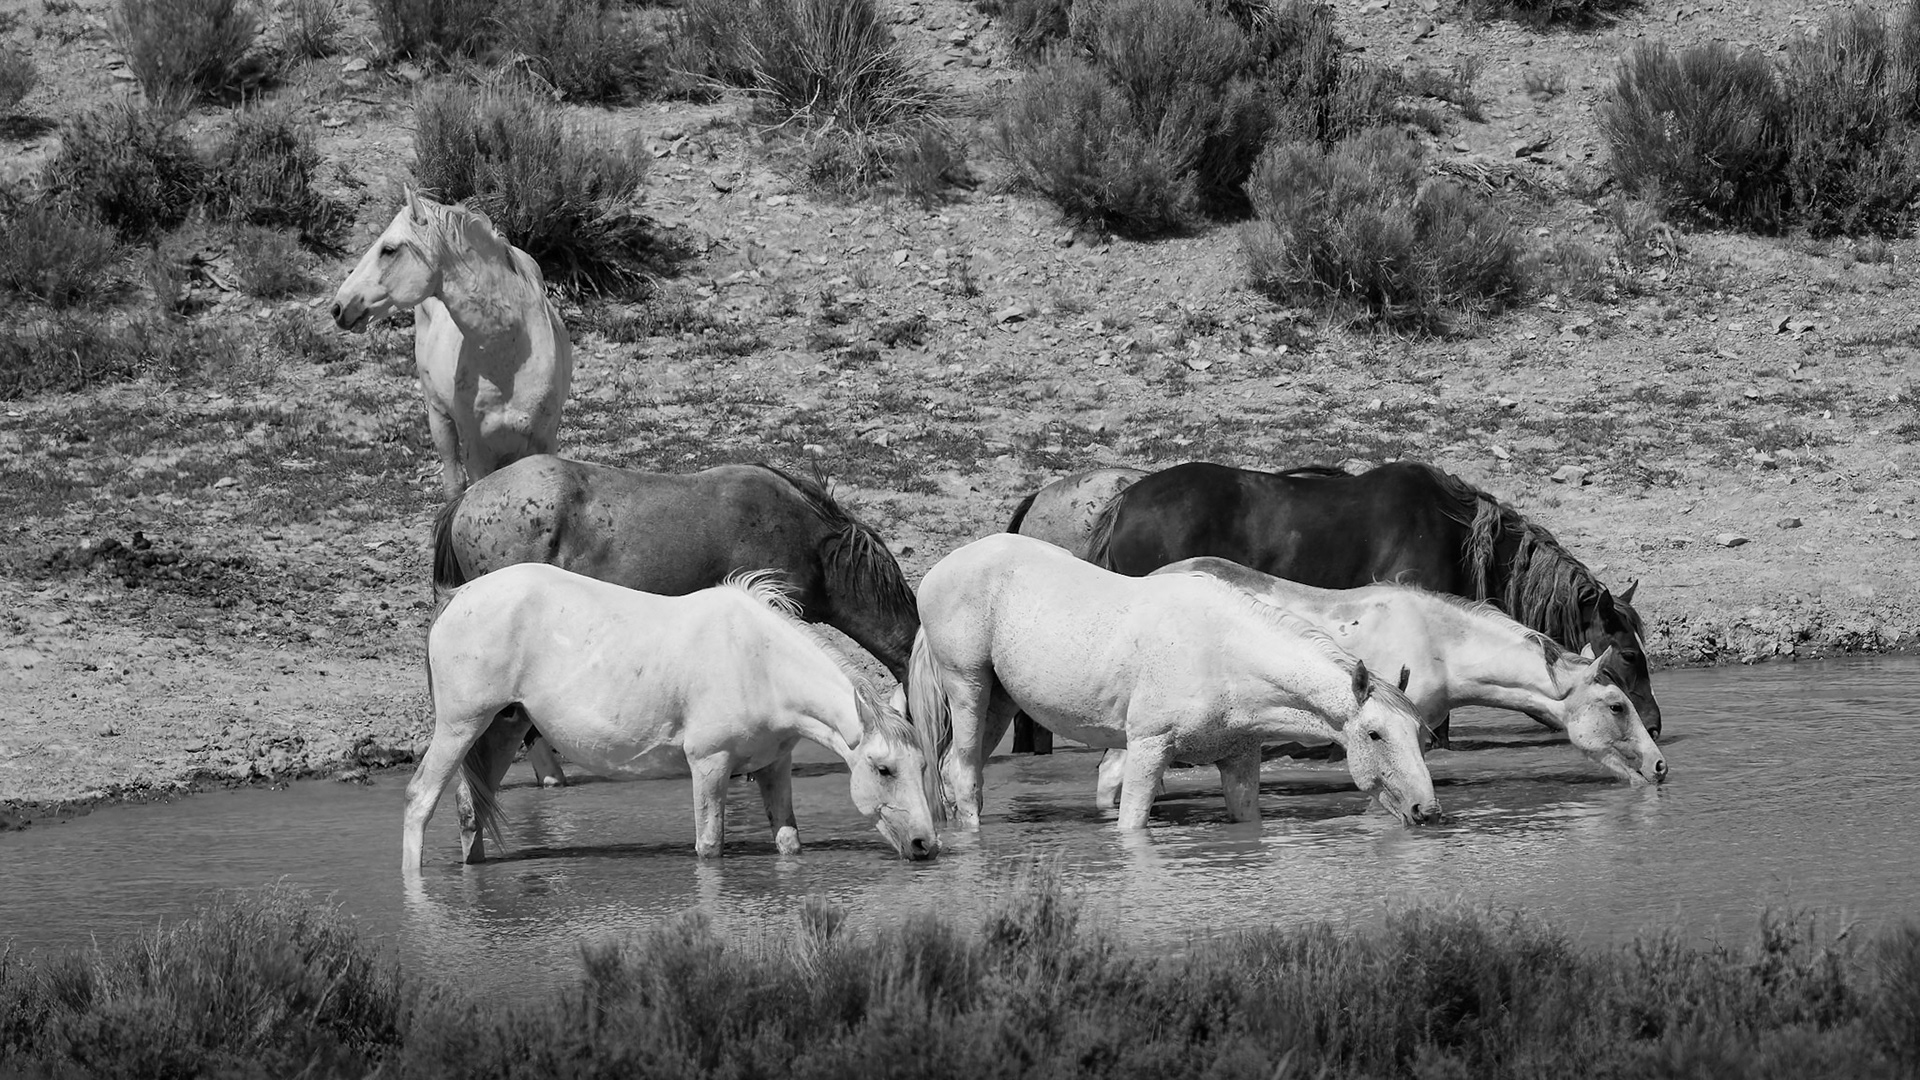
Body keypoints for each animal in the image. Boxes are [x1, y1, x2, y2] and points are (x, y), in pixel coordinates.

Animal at [331, 188, 571, 498]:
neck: (509, 359)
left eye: (389, 249)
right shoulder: (476, 449)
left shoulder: (544, 439)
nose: (339, 307)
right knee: (454, 482)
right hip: (438, 417)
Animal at [405, 565, 944, 869]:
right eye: (883, 769)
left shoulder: (774, 766)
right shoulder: (708, 764)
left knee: (469, 810)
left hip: (503, 727)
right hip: (459, 728)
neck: (757, 660)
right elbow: (709, 847)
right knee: (420, 799)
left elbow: (789, 843)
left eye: (922, 766)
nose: (926, 844)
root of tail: (457, 597)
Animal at [906, 534, 1439, 832]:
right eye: (1375, 734)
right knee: (962, 775)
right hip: (969, 687)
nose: (1427, 811)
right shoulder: (1147, 749)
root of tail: (940, 569)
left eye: (1421, 736)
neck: (1223, 656)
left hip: (1000, 700)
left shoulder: (1239, 760)